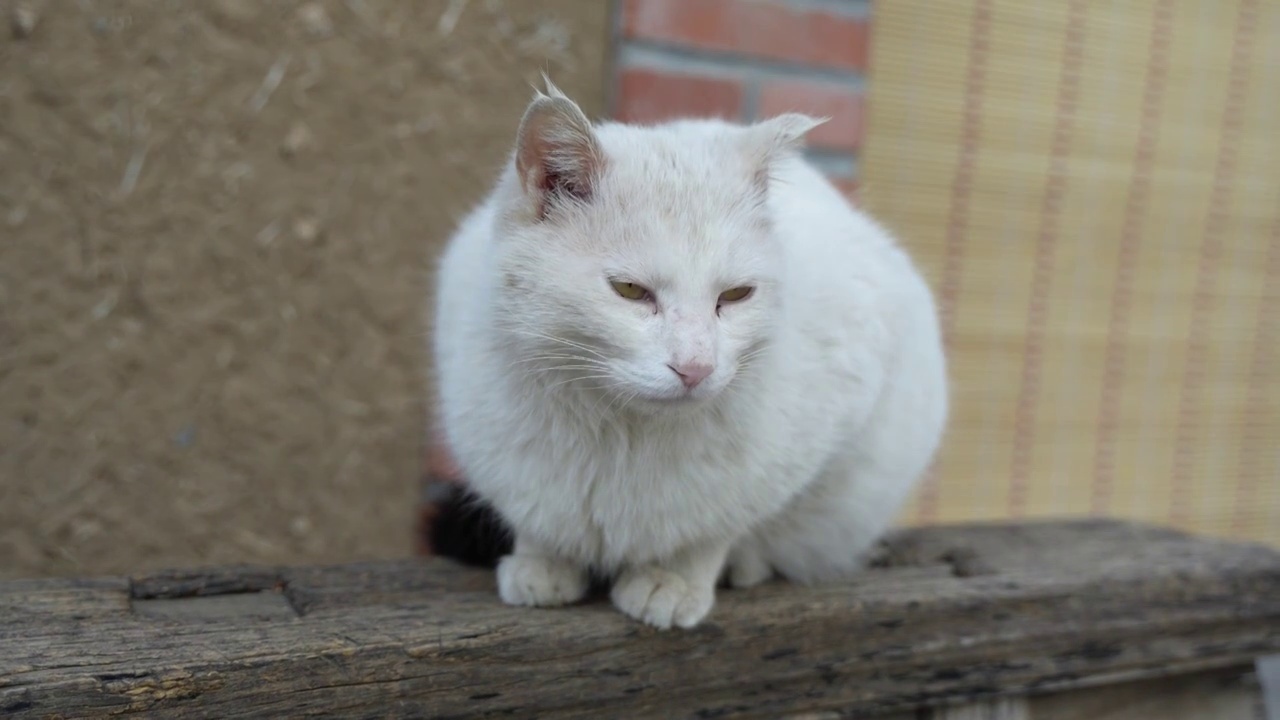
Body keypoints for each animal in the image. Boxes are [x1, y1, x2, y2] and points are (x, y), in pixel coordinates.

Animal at [435, 79, 947, 627]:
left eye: (737, 295)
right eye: (630, 290)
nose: (696, 367)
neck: (621, 434)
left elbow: (712, 530)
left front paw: (673, 580)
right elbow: (537, 520)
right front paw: (543, 564)